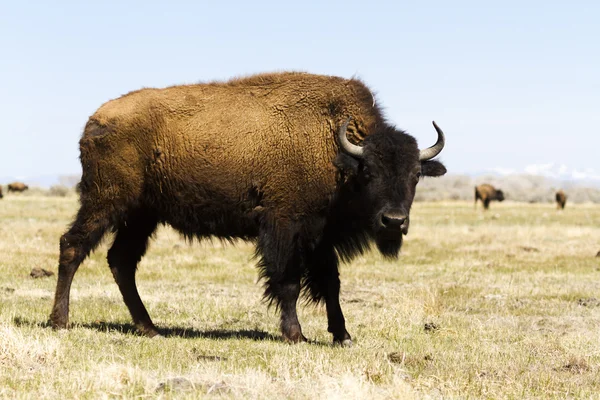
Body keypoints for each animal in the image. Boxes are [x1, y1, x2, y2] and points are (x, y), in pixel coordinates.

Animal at [50, 71, 446, 344]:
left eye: (415, 175)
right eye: (369, 172)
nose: (394, 221)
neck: (335, 148)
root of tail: (95, 121)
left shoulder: (320, 237)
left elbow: (330, 284)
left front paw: (343, 336)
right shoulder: (285, 227)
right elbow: (288, 282)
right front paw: (295, 335)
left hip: (141, 216)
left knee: (121, 261)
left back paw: (149, 327)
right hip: (106, 202)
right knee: (72, 246)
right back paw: (60, 322)